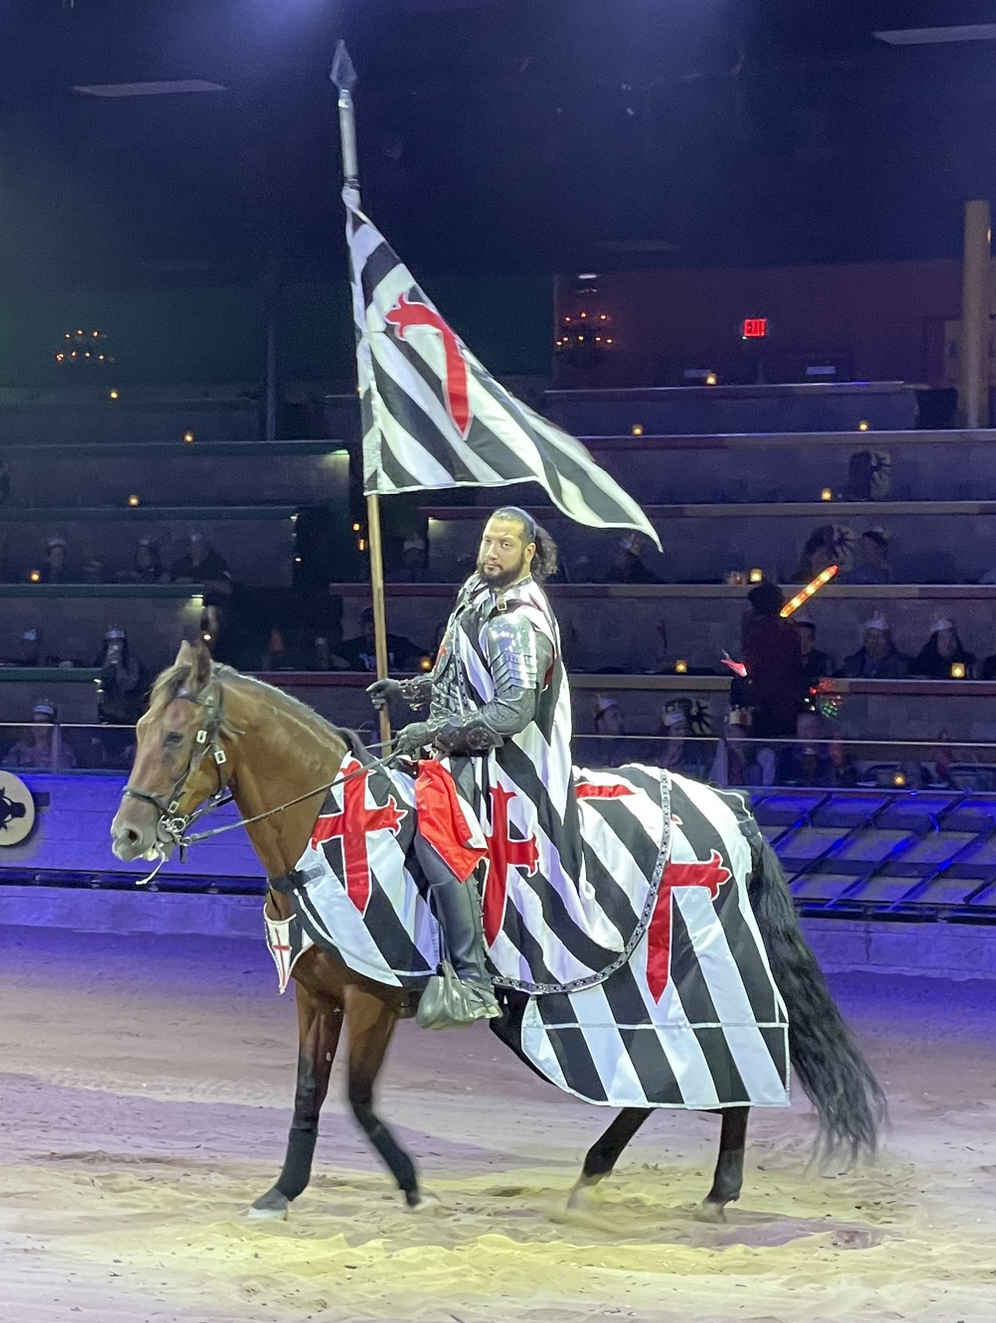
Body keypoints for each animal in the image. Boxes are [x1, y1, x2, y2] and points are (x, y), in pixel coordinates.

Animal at [110, 640, 883, 1217]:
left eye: (176, 736)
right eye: (141, 731)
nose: (127, 834)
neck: (329, 828)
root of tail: (730, 808)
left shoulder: (374, 997)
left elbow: (357, 1098)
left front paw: (412, 1188)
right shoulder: (317, 993)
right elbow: (308, 1092)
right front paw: (281, 1191)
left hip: (693, 984)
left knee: (726, 1067)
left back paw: (714, 1191)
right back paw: (601, 1175)